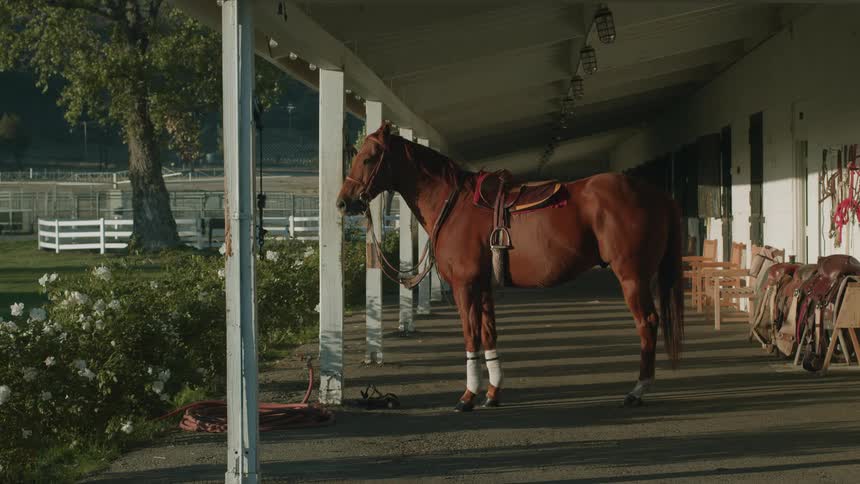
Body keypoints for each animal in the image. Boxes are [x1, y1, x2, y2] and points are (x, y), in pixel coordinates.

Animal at [337, 123, 684, 410]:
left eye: (369, 158)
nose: (343, 202)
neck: (453, 204)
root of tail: (657, 194)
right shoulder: (483, 285)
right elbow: (489, 333)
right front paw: (492, 393)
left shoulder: (465, 286)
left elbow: (471, 335)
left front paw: (468, 396)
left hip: (633, 276)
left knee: (647, 323)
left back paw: (637, 390)